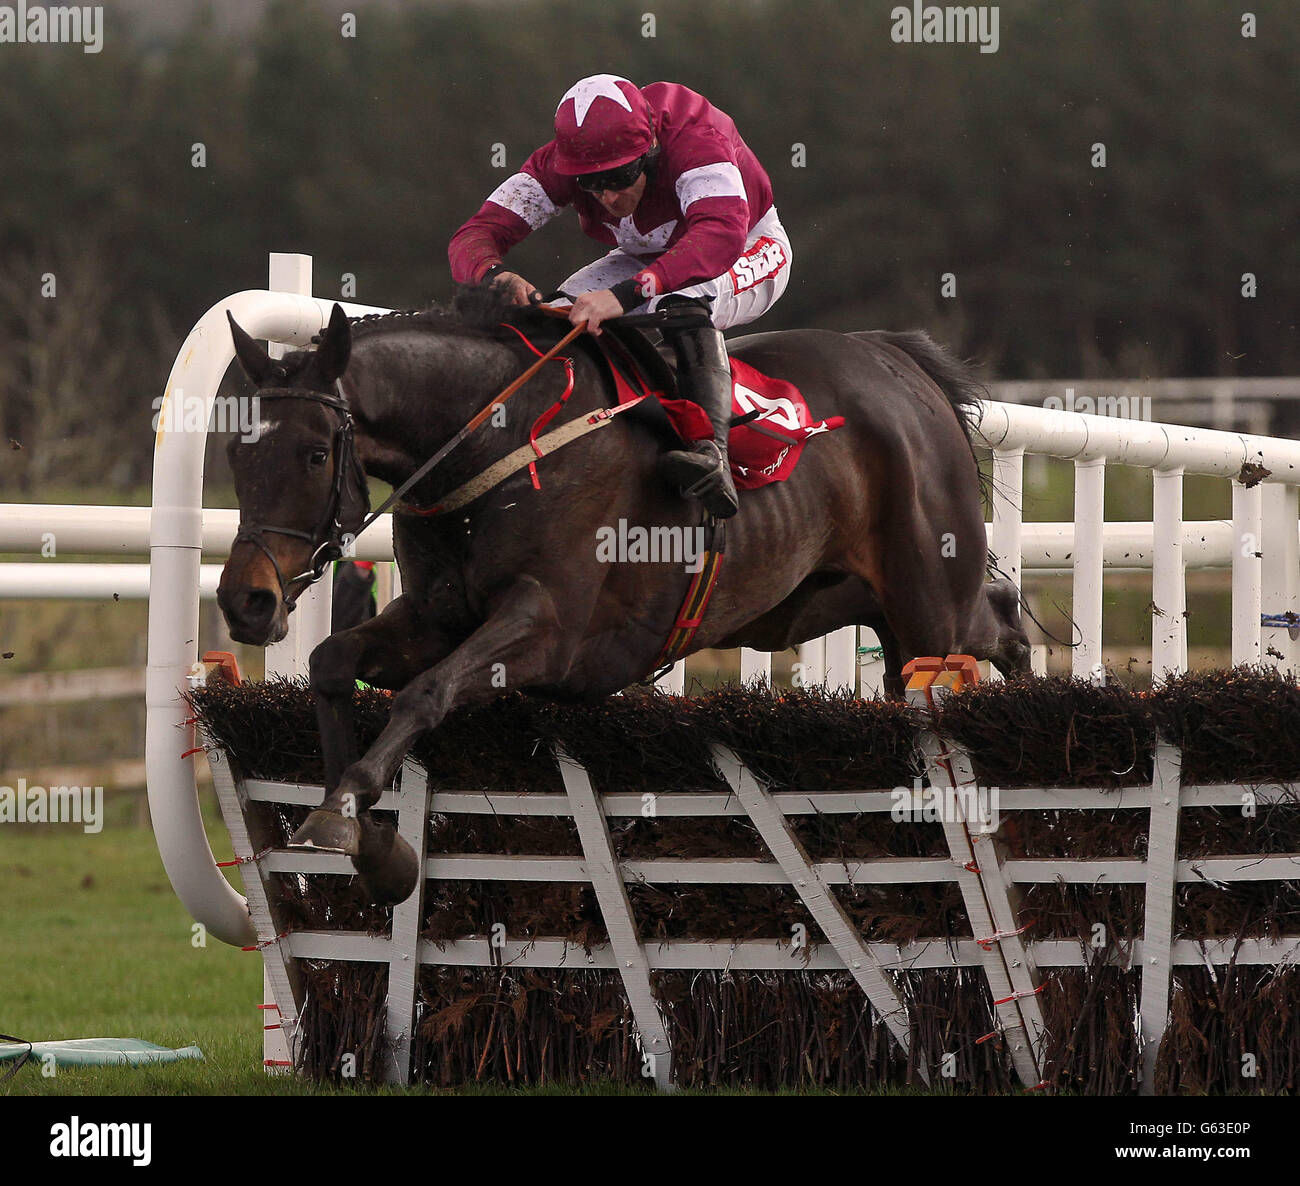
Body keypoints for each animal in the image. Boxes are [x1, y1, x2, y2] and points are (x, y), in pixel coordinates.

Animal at [218, 291, 1029, 905]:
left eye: (315, 453)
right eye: (234, 452)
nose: (245, 602)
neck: (494, 443)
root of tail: (903, 362)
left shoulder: (548, 630)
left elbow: (426, 693)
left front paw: (351, 809)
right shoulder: (434, 617)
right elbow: (331, 661)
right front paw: (362, 831)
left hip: (927, 605)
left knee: (993, 627)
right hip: (836, 603)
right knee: (989, 620)